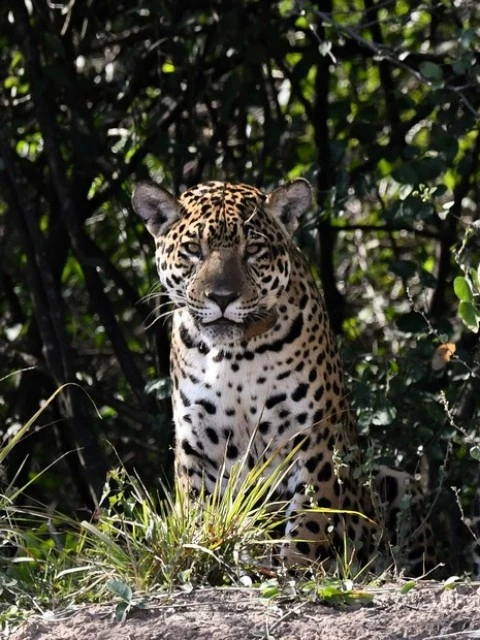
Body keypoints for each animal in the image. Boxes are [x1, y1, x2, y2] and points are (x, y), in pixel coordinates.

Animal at [132, 177, 436, 575]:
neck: (235, 355)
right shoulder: (197, 444)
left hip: (395, 481)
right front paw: (199, 554)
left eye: (253, 250)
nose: (222, 297)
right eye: (194, 250)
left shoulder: (313, 438)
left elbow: (311, 515)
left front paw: (296, 566)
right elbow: (197, 509)